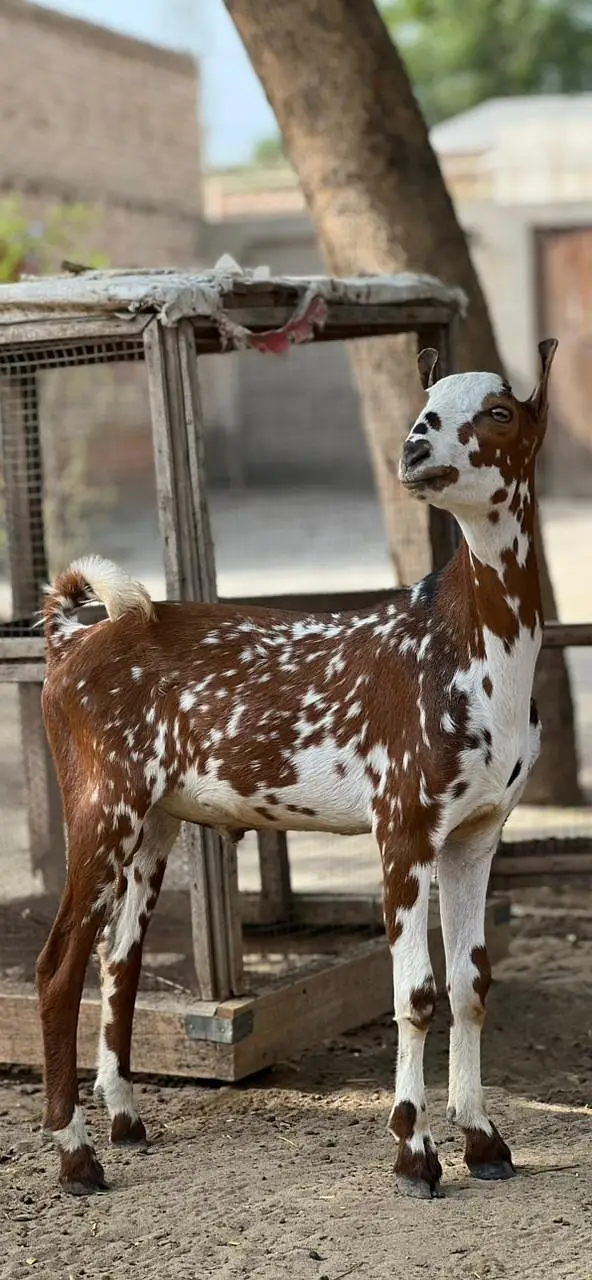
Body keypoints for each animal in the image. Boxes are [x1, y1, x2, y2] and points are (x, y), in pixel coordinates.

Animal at [37, 340, 557, 1197]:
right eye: (425, 407)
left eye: (499, 412)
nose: (415, 450)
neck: (461, 647)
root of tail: (68, 639)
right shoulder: (404, 828)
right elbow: (415, 994)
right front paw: (414, 1153)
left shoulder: (476, 834)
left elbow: (471, 985)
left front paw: (483, 1140)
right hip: (100, 806)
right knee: (58, 969)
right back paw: (76, 1155)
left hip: (152, 825)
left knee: (118, 964)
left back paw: (124, 1120)